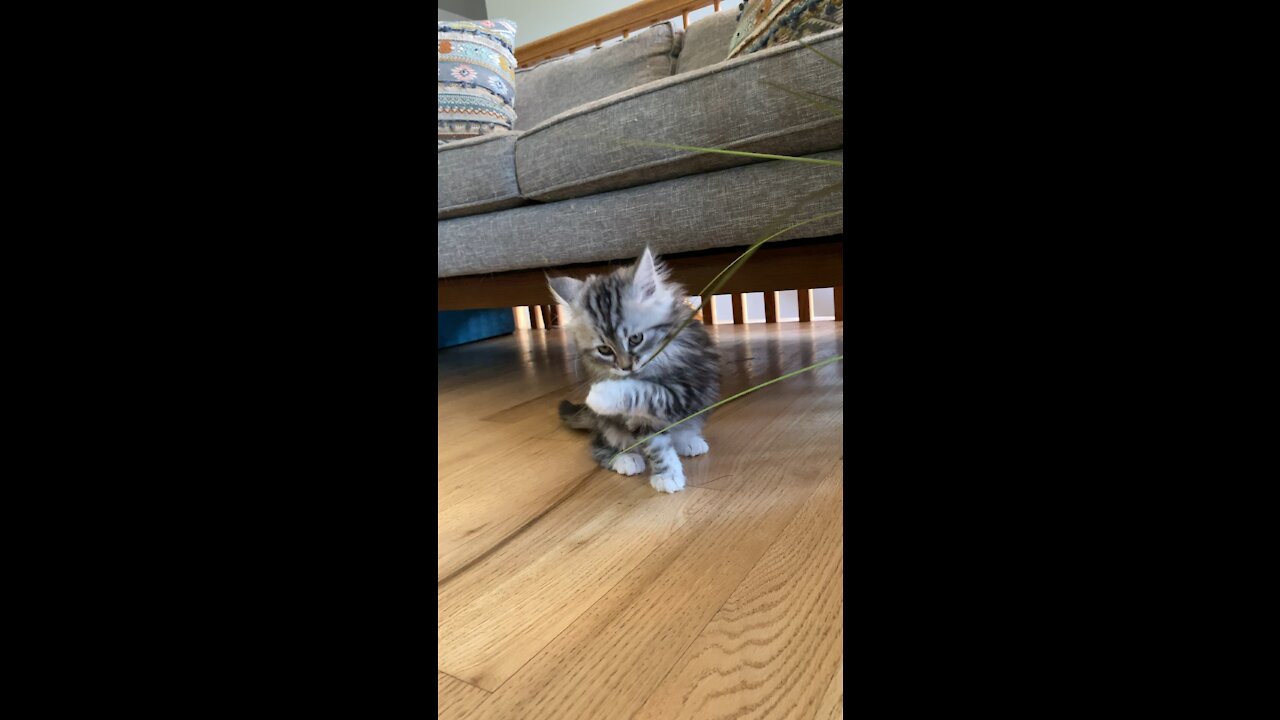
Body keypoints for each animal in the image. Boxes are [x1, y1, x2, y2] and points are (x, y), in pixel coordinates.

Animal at [547, 248, 721, 491]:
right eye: (604, 349)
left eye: (635, 338)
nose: (625, 367)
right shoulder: (642, 420)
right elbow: (656, 445)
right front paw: (667, 474)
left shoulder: (688, 389)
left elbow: (647, 392)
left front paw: (603, 394)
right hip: (606, 427)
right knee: (598, 444)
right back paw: (624, 458)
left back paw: (688, 441)